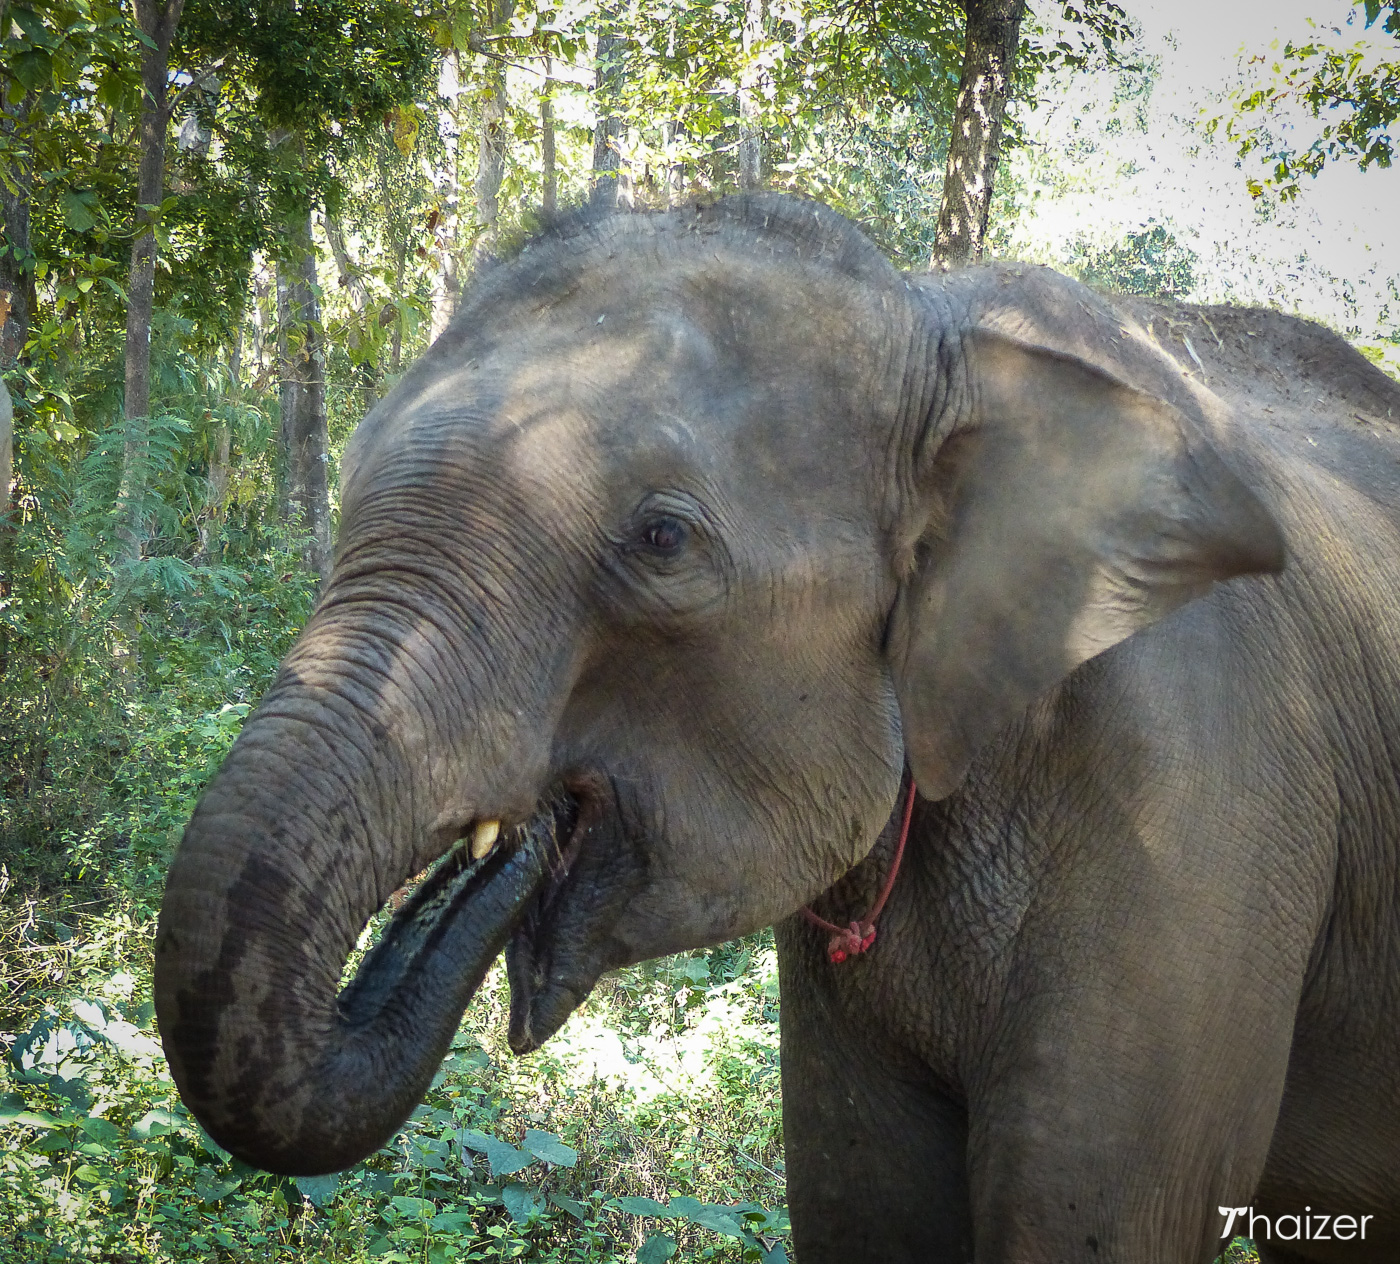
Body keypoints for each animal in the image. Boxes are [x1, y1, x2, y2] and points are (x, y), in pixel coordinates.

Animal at [154, 193, 1400, 1263]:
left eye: (660, 539)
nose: (500, 841)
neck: (934, 324)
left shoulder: (1199, 806)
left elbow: (1087, 1219)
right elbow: (865, 1215)